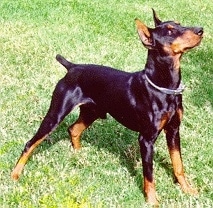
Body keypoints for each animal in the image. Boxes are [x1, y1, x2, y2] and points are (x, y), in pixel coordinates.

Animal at [11, 9, 203, 205]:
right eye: (170, 31)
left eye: (179, 24)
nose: (200, 30)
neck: (165, 87)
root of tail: (72, 67)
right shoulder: (146, 139)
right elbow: (149, 176)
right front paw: (152, 201)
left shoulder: (173, 130)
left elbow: (178, 164)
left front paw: (188, 189)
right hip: (56, 114)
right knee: (30, 143)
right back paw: (15, 174)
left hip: (91, 111)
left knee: (73, 129)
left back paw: (79, 155)